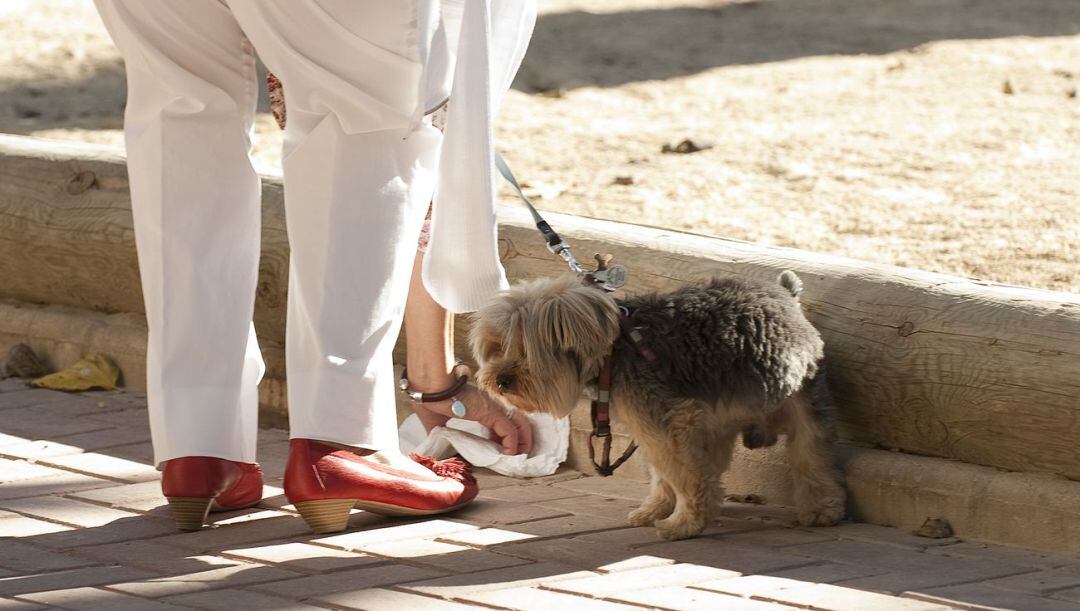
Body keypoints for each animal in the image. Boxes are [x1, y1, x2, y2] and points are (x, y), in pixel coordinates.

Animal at [468, 273, 846, 541]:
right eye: (497, 347)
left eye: (525, 350)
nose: (499, 380)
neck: (613, 353)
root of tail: (786, 296)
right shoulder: (661, 425)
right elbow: (666, 473)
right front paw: (657, 510)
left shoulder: (669, 424)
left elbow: (685, 475)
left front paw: (684, 522)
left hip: (803, 400)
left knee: (811, 452)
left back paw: (822, 509)